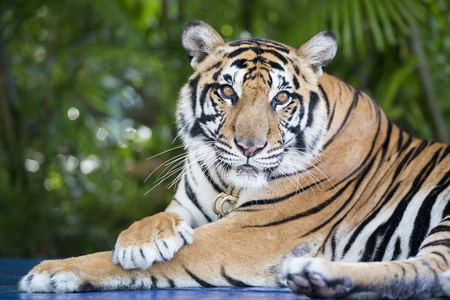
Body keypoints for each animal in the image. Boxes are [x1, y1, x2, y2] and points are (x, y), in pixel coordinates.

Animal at [18, 19, 450, 298]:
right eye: (228, 92)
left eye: (282, 98)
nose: (250, 147)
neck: (230, 185)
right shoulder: (187, 207)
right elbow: (158, 220)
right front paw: (142, 239)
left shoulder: (254, 233)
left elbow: (145, 261)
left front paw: (54, 270)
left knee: (428, 270)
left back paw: (314, 274)